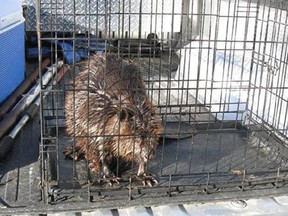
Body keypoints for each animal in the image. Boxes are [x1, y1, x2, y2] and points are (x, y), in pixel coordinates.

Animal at [64, 54, 162, 186]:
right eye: (137, 136)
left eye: (151, 133)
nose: (150, 154)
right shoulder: (96, 124)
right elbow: (99, 152)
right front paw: (110, 177)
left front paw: (145, 177)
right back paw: (75, 152)